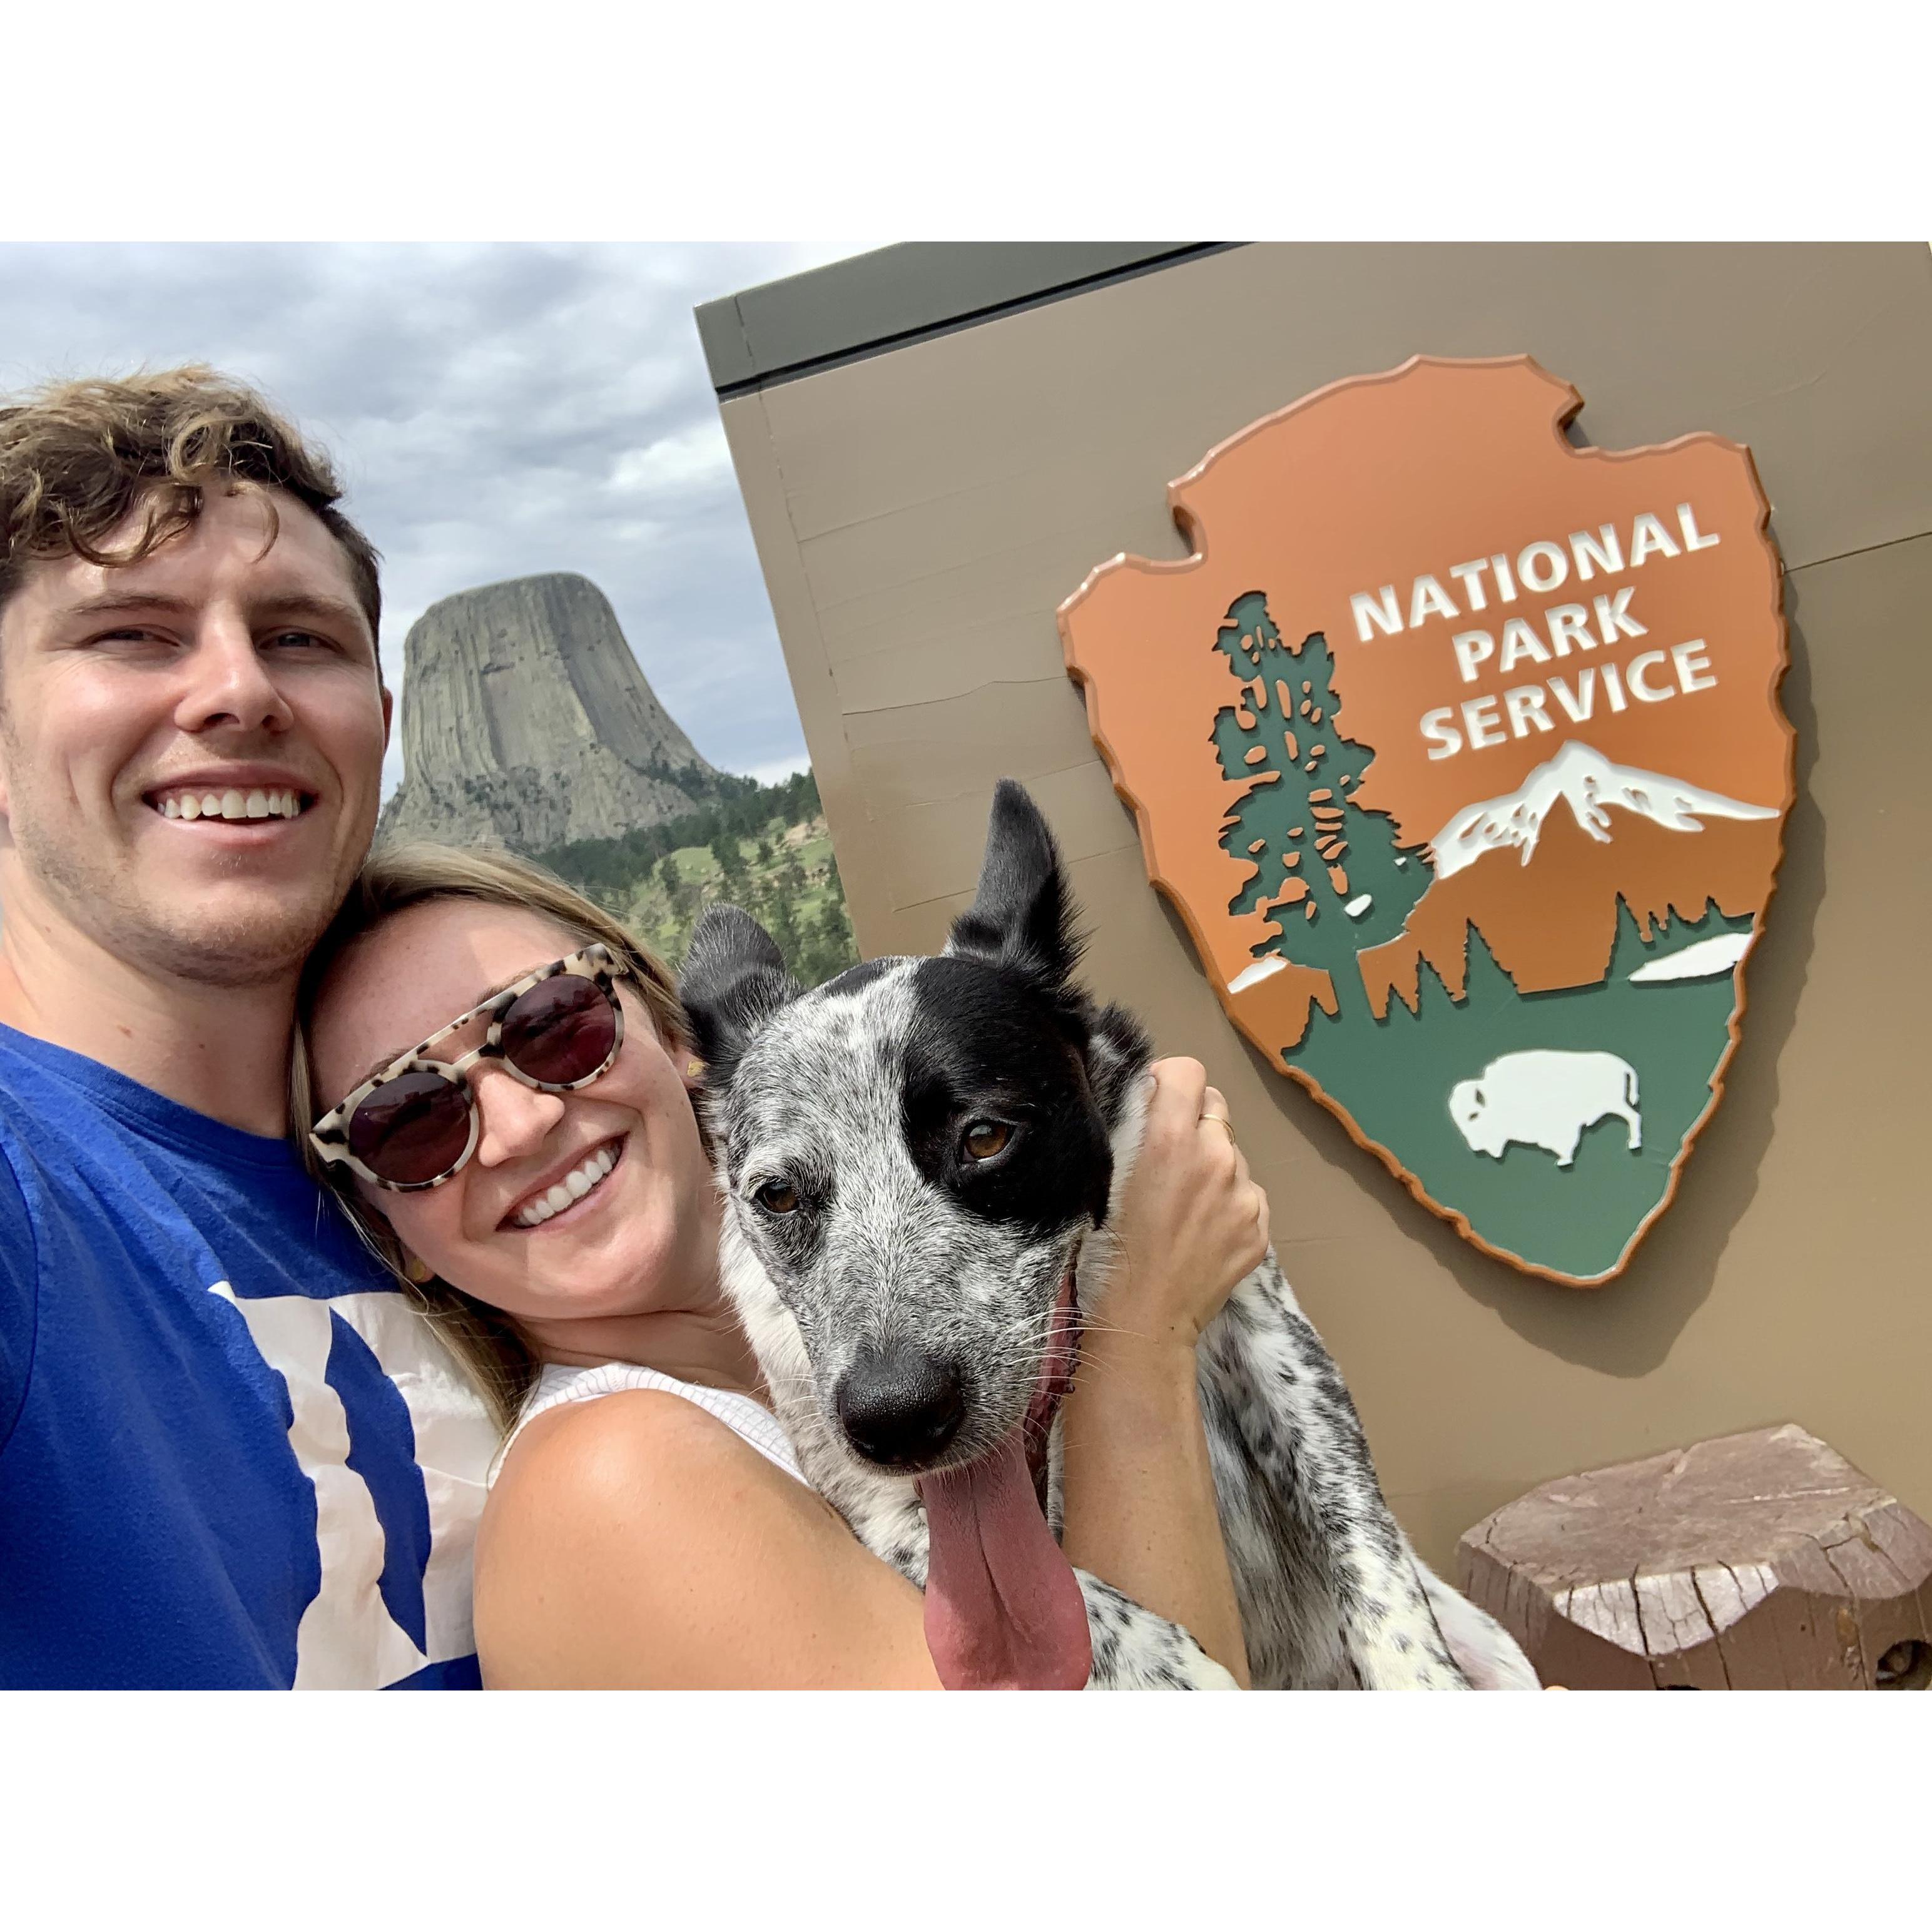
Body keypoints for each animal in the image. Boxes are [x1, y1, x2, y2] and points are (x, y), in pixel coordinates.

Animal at [679, 776, 1538, 1684]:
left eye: (984, 1137)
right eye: (777, 1195)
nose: (897, 1416)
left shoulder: (1278, 1338)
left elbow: (1370, 1553)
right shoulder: (861, 1490)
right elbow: (1109, 1623)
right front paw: (1182, 1670)